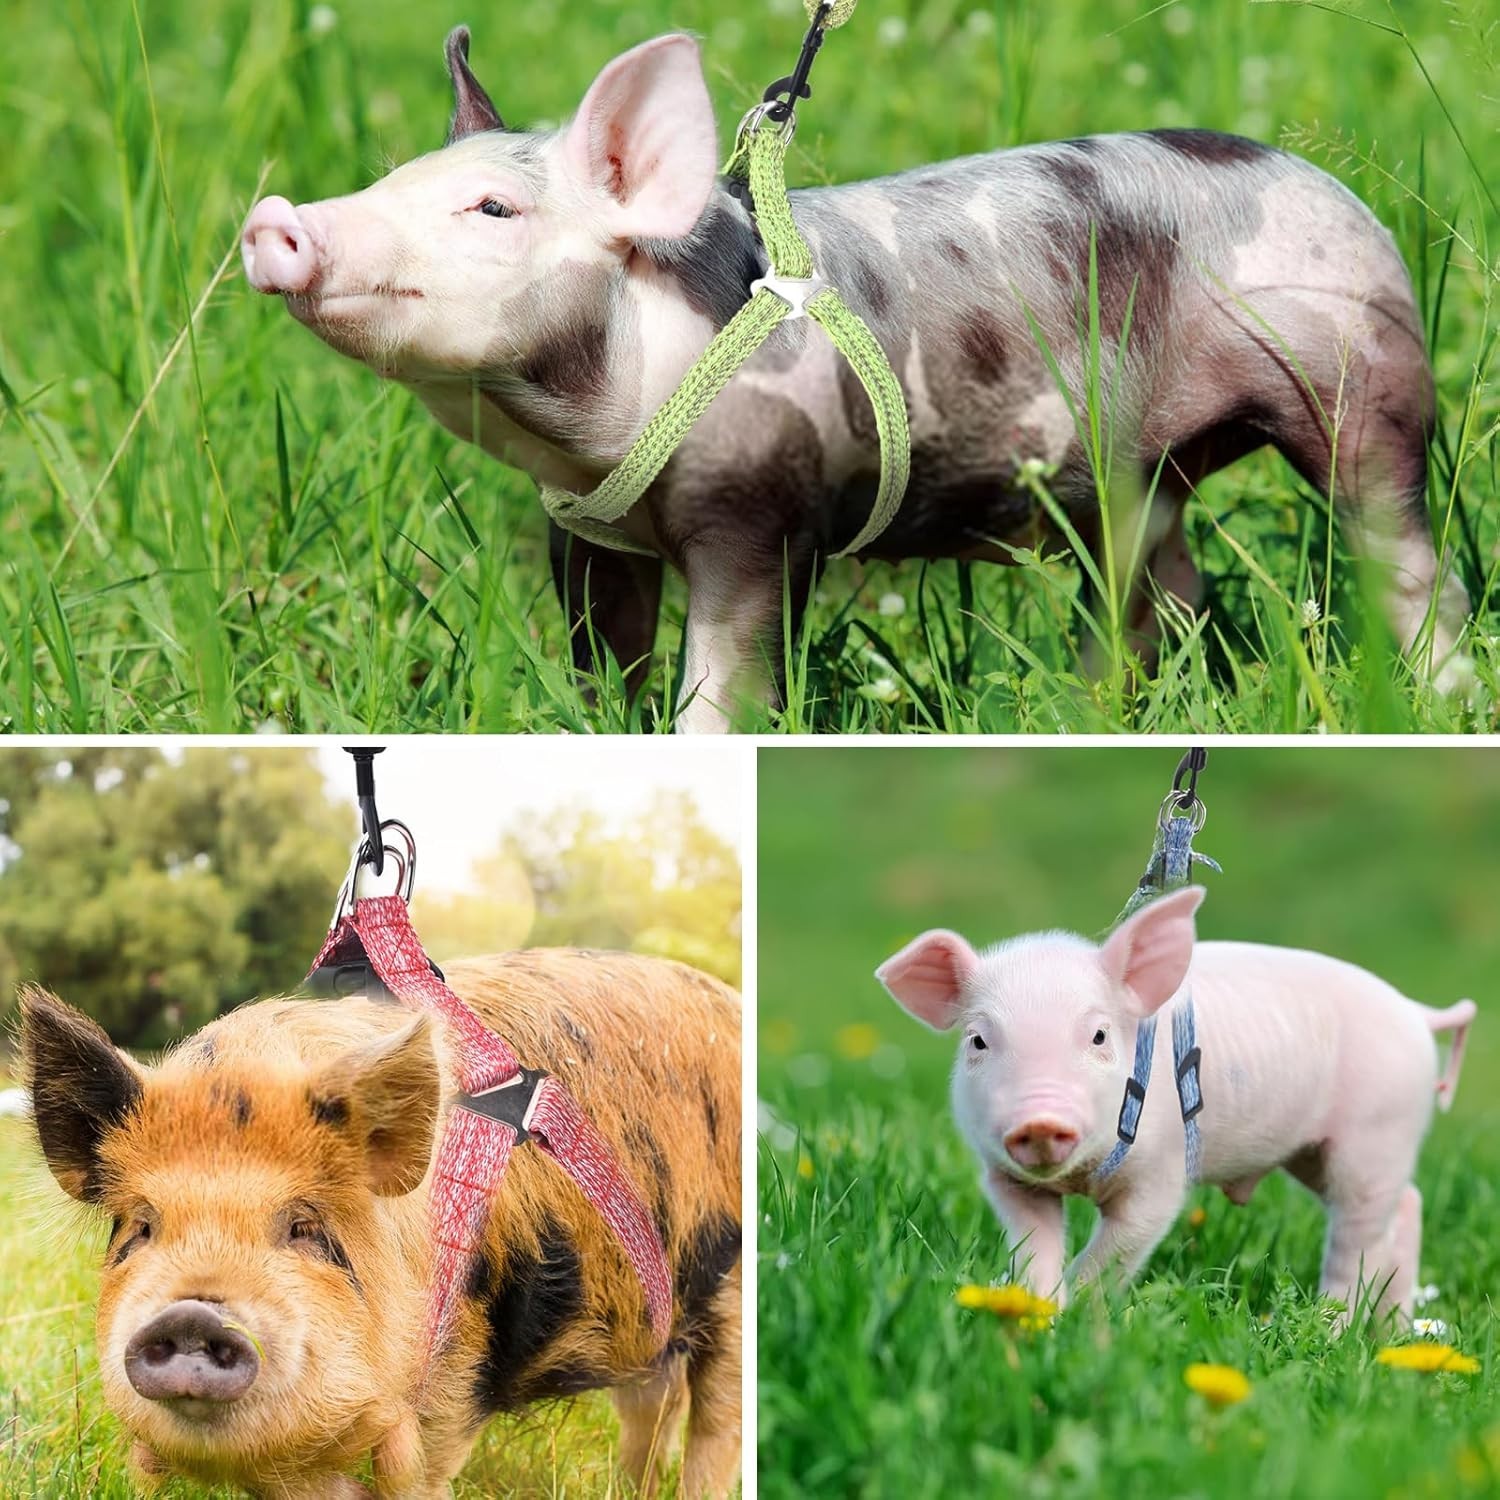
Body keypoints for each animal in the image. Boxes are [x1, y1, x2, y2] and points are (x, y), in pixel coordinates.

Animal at [19, 950, 741, 1499]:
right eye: (141, 1228)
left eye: (305, 1228)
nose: (192, 1313)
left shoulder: (455, 1373)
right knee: (653, 1406)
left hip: (726, 1287)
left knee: (716, 1420)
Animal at [241, 28, 1473, 732]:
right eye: (392, 178)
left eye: (493, 209)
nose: (275, 220)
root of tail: (1327, 182)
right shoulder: (585, 531)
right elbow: (605, 657)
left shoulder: (761, 512)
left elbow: (722, 675)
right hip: (1140, 475)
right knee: (1154, 580)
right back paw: (1093, 709)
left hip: (1362, 379)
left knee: (1405, 550)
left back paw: (1438, 697)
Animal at [877, 886, 1476, 1322]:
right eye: (978, 1040)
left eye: (1098, 1035)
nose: (1040, 1120)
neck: (1081, 1178)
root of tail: (1417, 1012)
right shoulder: (1006, 1178)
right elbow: (1034, 1247)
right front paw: (1034, 1314)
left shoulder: (1160, 1178)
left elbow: (1110, 1255)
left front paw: (1081, 1323)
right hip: (1319, 1151)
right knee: (1405, 1209)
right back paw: (1393, 1336)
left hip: (1377, 1133)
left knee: (1359, 1239)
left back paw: (1331, 1329)